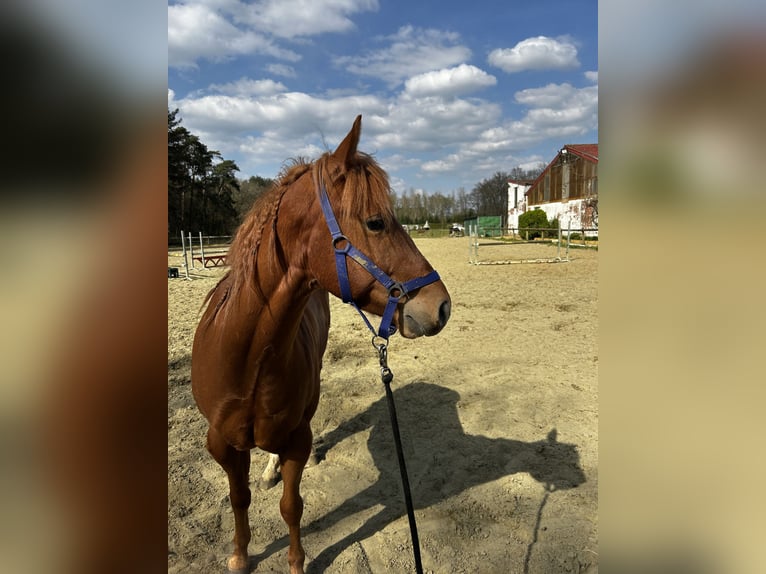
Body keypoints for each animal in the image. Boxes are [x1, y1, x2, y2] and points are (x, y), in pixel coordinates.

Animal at [191, 115, 451, 573]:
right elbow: (239, 498)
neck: (247, 358)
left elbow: (291, 506)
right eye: (376, 222)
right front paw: (240, 554)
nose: (442, 306)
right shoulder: (221, 443)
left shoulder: (297, 439)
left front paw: (296, 562)